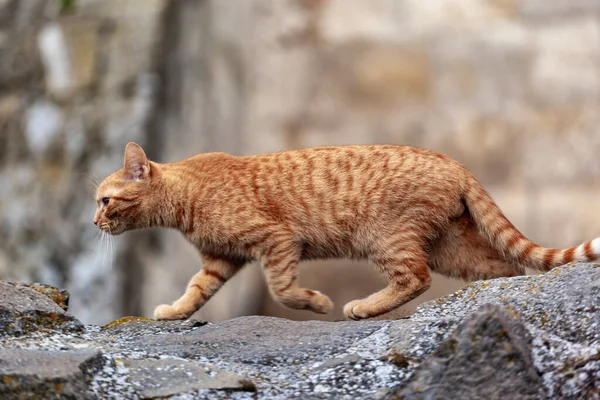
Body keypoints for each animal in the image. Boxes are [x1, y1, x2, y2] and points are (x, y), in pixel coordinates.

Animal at [94, 142, 600, 320]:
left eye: (104, 200)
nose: (94, 221)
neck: (185, 198)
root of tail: (453, 162)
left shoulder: (277, 240)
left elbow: (282, 290)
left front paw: (316, 303)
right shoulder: (221, 260)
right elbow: (196, 290)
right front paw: (174, 312)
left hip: (388, 238)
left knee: (415, 278)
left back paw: (363, 307)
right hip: (451, 247)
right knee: (501, 268)